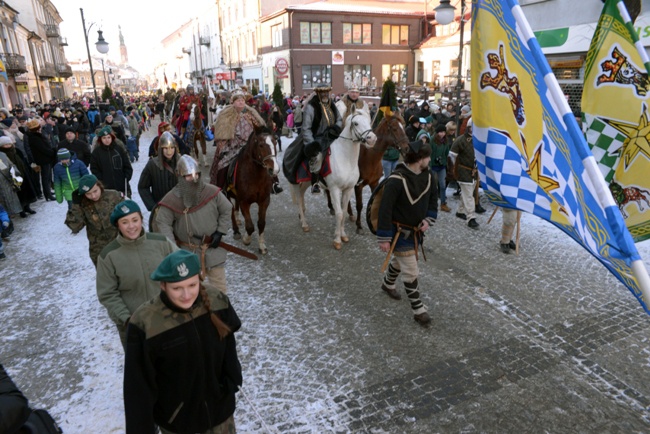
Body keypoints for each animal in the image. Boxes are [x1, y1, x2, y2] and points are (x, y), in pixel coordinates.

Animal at [288, 104, 374, 248]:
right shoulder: (334, 189)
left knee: (301, 194)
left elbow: (344, 212)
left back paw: (302, 217)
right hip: (295, 182)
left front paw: (343, 235)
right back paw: (304, 224)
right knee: (299, 198)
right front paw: (337, 240)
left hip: (306, 181)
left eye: (369, 121)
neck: (346, 158)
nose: (372, 139)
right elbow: (338, 214)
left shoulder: (348, 189)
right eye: (356, 123)